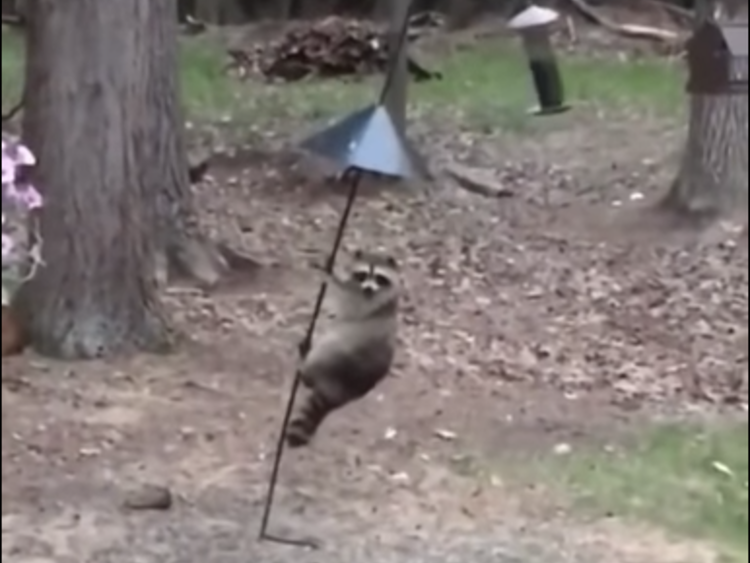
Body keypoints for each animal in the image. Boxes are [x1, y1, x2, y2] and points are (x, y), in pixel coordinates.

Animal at [286, 250, 400, 448]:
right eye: (363, 275)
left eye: (379, 278)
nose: (368, 289)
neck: (365, 293)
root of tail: (343, 393)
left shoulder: (373, 303)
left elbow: (347, 301)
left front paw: (332, 277)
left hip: (339, 356)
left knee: (327, 347)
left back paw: (305, 366)